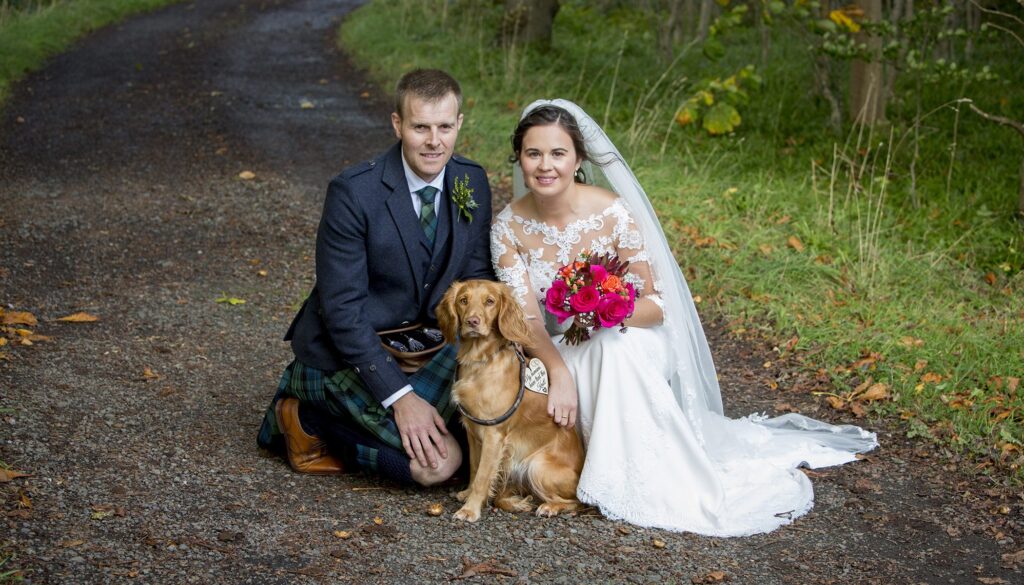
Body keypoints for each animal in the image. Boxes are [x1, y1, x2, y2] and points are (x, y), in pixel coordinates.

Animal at [436, 278, 585, 522]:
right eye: (463, 300)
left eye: (490, 301)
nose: (472, 321)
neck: (481, 361)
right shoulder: (472, 430)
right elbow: (474, 467)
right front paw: (468, 494)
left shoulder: (493, 434)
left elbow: (483, 475)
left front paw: (470, 509)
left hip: (537, 466)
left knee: (577, 503)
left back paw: (550, 507)